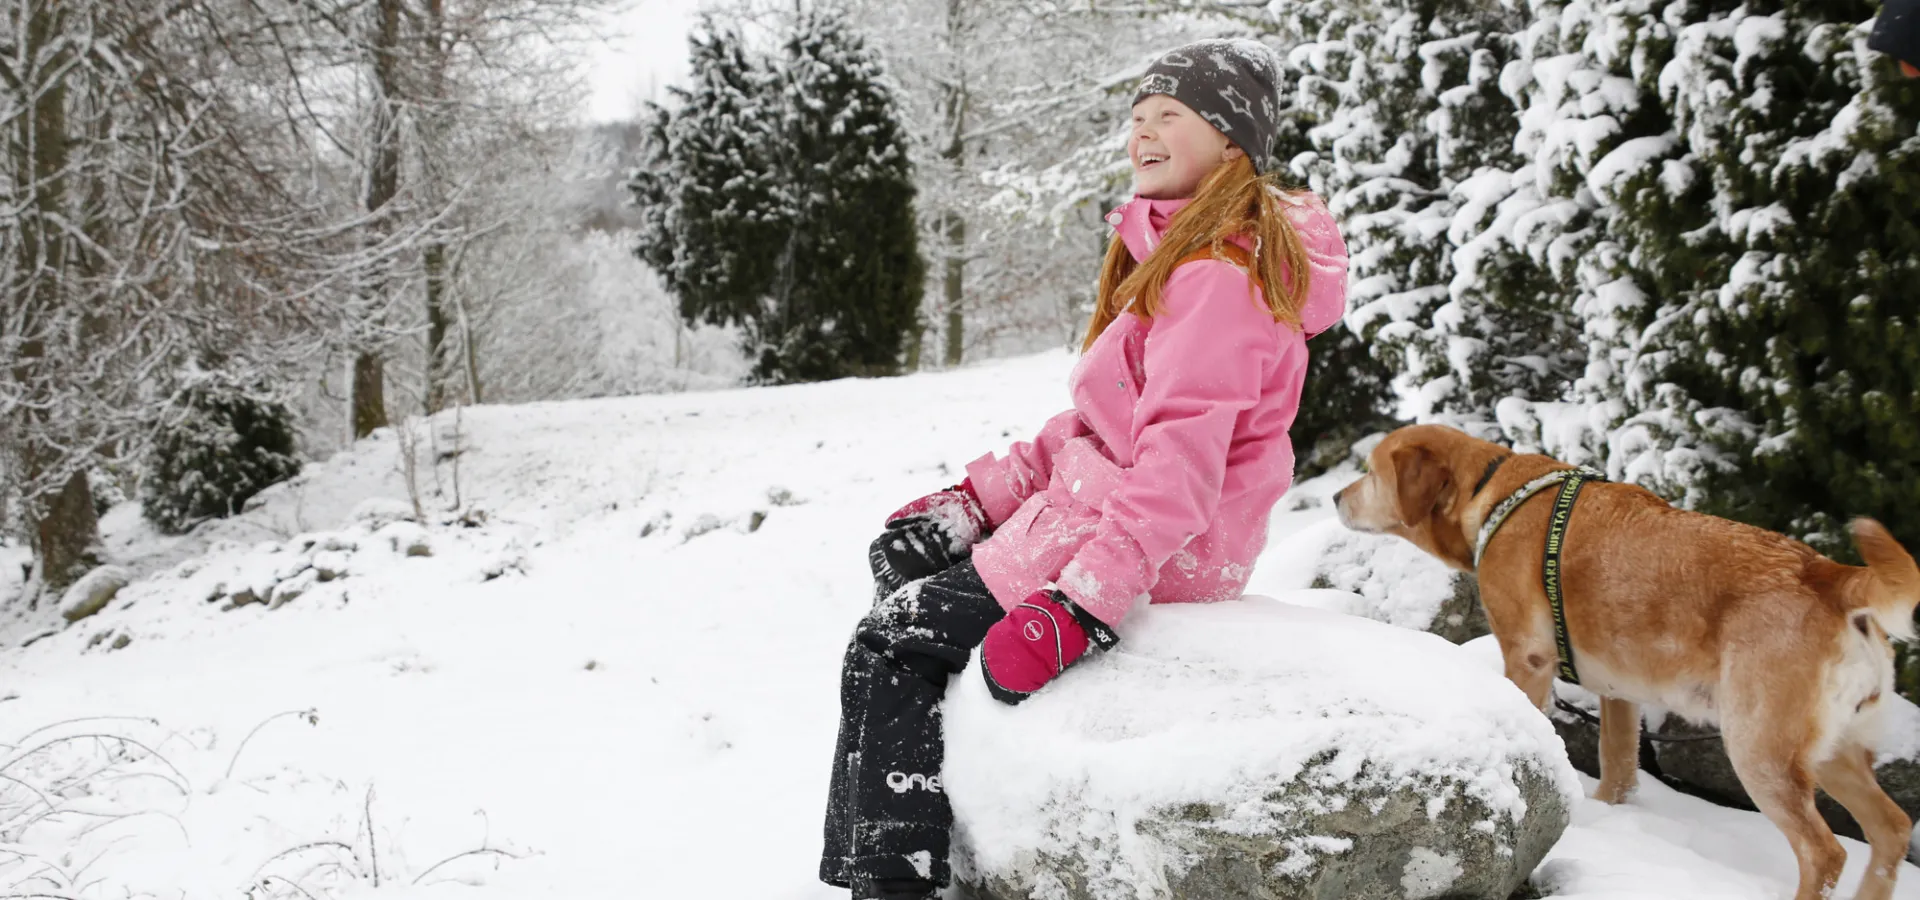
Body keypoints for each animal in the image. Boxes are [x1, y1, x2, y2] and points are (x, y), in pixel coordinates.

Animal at [1336, 422, 1920, 898]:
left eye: (1370, 472)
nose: (1336, 496)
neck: (1491, 492)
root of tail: (1828, 574)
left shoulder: (1527, 659)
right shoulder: (1618, 695)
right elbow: (1617, 767)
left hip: (1759, 748)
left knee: (1826, 853)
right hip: (1833, 752)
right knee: (1891, 830)